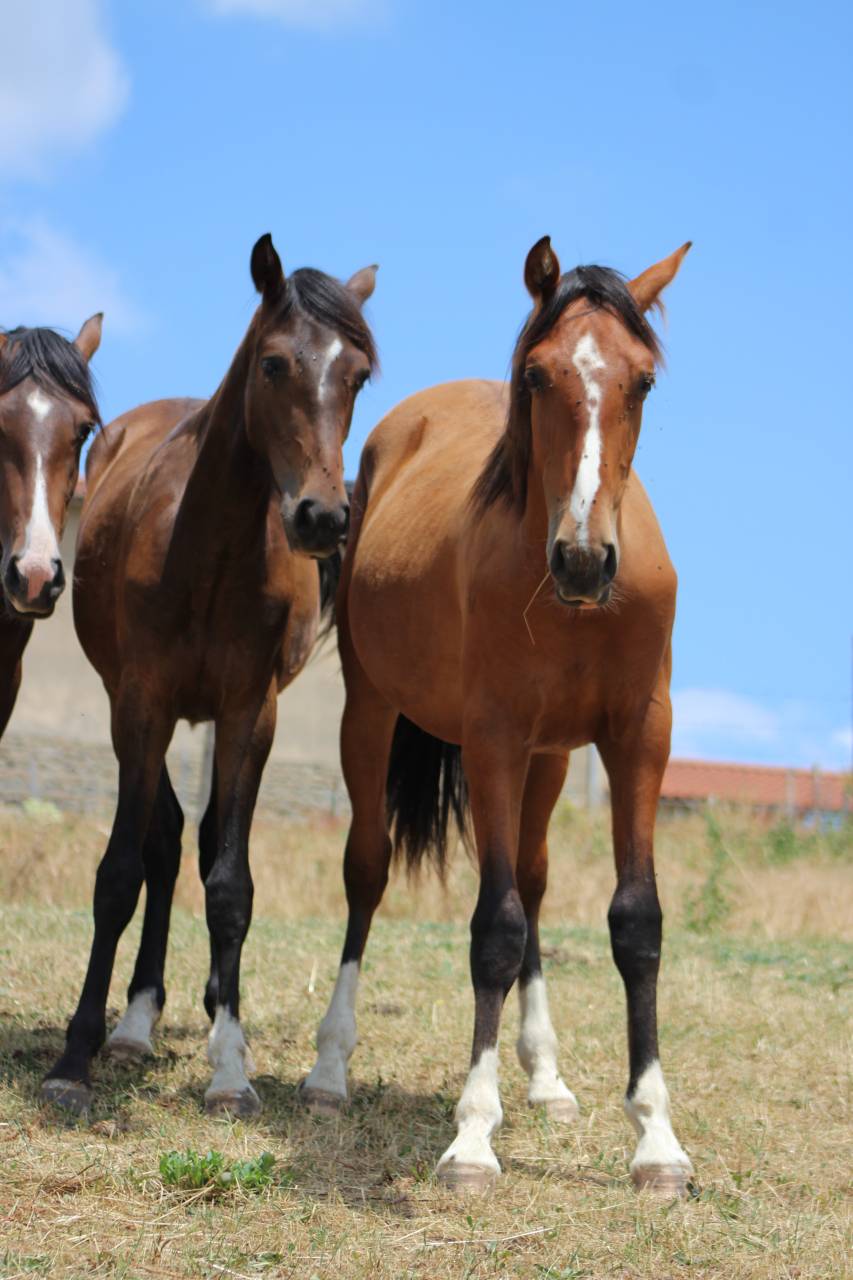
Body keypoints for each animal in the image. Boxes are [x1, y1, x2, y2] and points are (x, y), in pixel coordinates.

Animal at [41, 235, 378, 1116]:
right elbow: (120, 873)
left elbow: (230, 886)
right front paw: (75, 1057)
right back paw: (134, 1023)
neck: (207, 548)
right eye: (273, 363)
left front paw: (230, 1067)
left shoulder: (247, 713)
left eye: (360, 374)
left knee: (196, 844)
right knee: (160, 843)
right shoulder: (141, 703)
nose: (322, 518)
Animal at [301, 236, 693, 1196]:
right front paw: (474, 1135)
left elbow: (634, 922)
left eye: (642, 382)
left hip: (548, 761)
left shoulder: (637, 738)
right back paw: (328, 1069)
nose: (585, 559)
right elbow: (493, 928)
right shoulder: (493, 741)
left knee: (538, 882)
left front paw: (655, 1139)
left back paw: (547, 1080)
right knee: (367, 873)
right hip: (373, 715)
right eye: (535, 375)